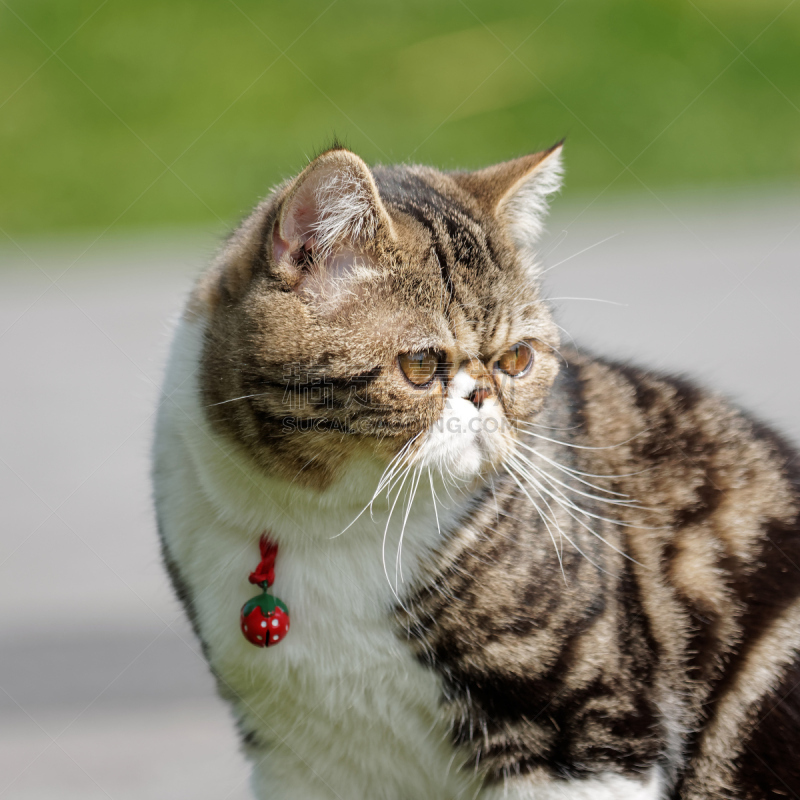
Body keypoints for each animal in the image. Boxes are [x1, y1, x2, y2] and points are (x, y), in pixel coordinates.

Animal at [153, 141, 800, 796]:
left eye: (516, 359)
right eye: (419, 365)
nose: (483, 394)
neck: (328, 523)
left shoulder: (589, 730)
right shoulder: (299, 757)